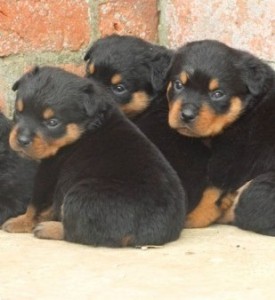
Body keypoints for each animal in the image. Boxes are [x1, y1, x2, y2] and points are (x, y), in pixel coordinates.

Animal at [2, 66, 187, 246]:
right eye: (19, 112)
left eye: (53, 122)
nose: (21, 140)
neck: (87, 127)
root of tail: (146, 235)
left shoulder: (49, 171)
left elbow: (34, 205)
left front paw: (19, 222)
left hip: (80, 196)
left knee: (77, 232)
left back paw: (49, 228)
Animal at [167, 39, 275, 236]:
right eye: (178, 84)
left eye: (218, 94)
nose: (186, 115)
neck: (245, 111)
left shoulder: (228, 160)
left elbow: (211, 190)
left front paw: (191, 217)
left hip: (258, 190)